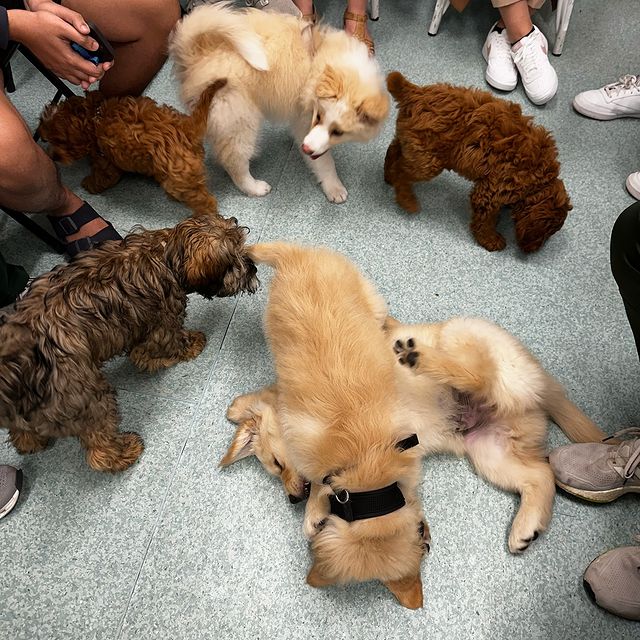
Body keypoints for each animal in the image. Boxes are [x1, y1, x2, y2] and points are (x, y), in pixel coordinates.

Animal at [1, 215, 260, 470]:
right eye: (233, 260)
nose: (253, 267)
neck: (167, 255)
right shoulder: (162, 322)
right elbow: (166, 343)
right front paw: (189, 344)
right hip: (86, 396)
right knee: (100, 449)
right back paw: (124, 451)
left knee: (22, 431)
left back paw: (31, 443)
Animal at [38, 79, 228, 215]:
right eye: (47, 140)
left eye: (60, 141)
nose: (53, 156)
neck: (94, 118)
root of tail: (187, 127)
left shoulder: (106, 161)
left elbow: (103, 177)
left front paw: (88, 183)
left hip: (180, 177)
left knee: (203, 200)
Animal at [240, 241, 430, 608]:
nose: (428, 539)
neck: (366, 468)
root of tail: (296, 256)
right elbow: (317, 484)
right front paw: (313, 511)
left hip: (370, 303)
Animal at [382, 74, 572, 254]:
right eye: (546, 233)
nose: (531, 252)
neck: (540, 179)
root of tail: (415, 92)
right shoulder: (490, 191)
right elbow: (485, 220)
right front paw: (491, 240)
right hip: (427, 162)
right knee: (401, 171)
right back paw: (406, 199)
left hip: (414, 145)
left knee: (393, 150)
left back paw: (388, 176)